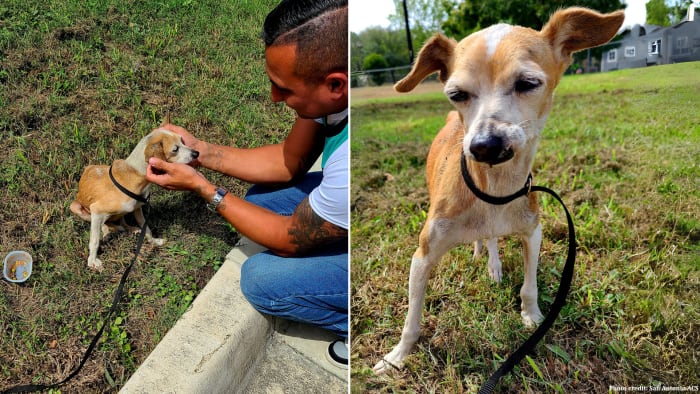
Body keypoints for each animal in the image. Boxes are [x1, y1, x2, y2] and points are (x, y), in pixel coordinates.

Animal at [70, 127, 200, 270]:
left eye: (182, 140)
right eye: (175, 149)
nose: (196, 153)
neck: (135, 175)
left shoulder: (138, 209)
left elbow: (147, 229)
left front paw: (154, 242)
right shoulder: (97, 210)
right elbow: (94, 240)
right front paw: (92, 261)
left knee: (122, 223)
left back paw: (130, 229)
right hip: (75, 207)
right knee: (104, 225)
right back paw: (107, 232)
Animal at [372, 7, 624, 374]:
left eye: (528, 83)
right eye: (457, 94)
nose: (484, 145)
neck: (494, 191)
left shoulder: (533, 232)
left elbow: (530, 286)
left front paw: (532, 316)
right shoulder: (422, 256)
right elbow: (412, 318)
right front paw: (398, 357)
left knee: (491, 238)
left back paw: (492, 262)